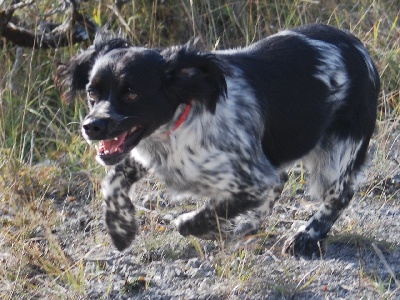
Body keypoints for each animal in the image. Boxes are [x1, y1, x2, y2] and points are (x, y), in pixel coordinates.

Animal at [55, 24, 378, 256]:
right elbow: (113, 180)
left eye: (132, 93)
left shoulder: (254, 179)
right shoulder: (153, 155)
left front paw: (205, 228)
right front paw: (120, 228)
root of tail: (360, 48)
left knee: (338, 196)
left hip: (336, 154)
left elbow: (211, 211)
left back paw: (305, 237)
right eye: (92, 92)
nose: (91, 126)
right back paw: (251, 224)